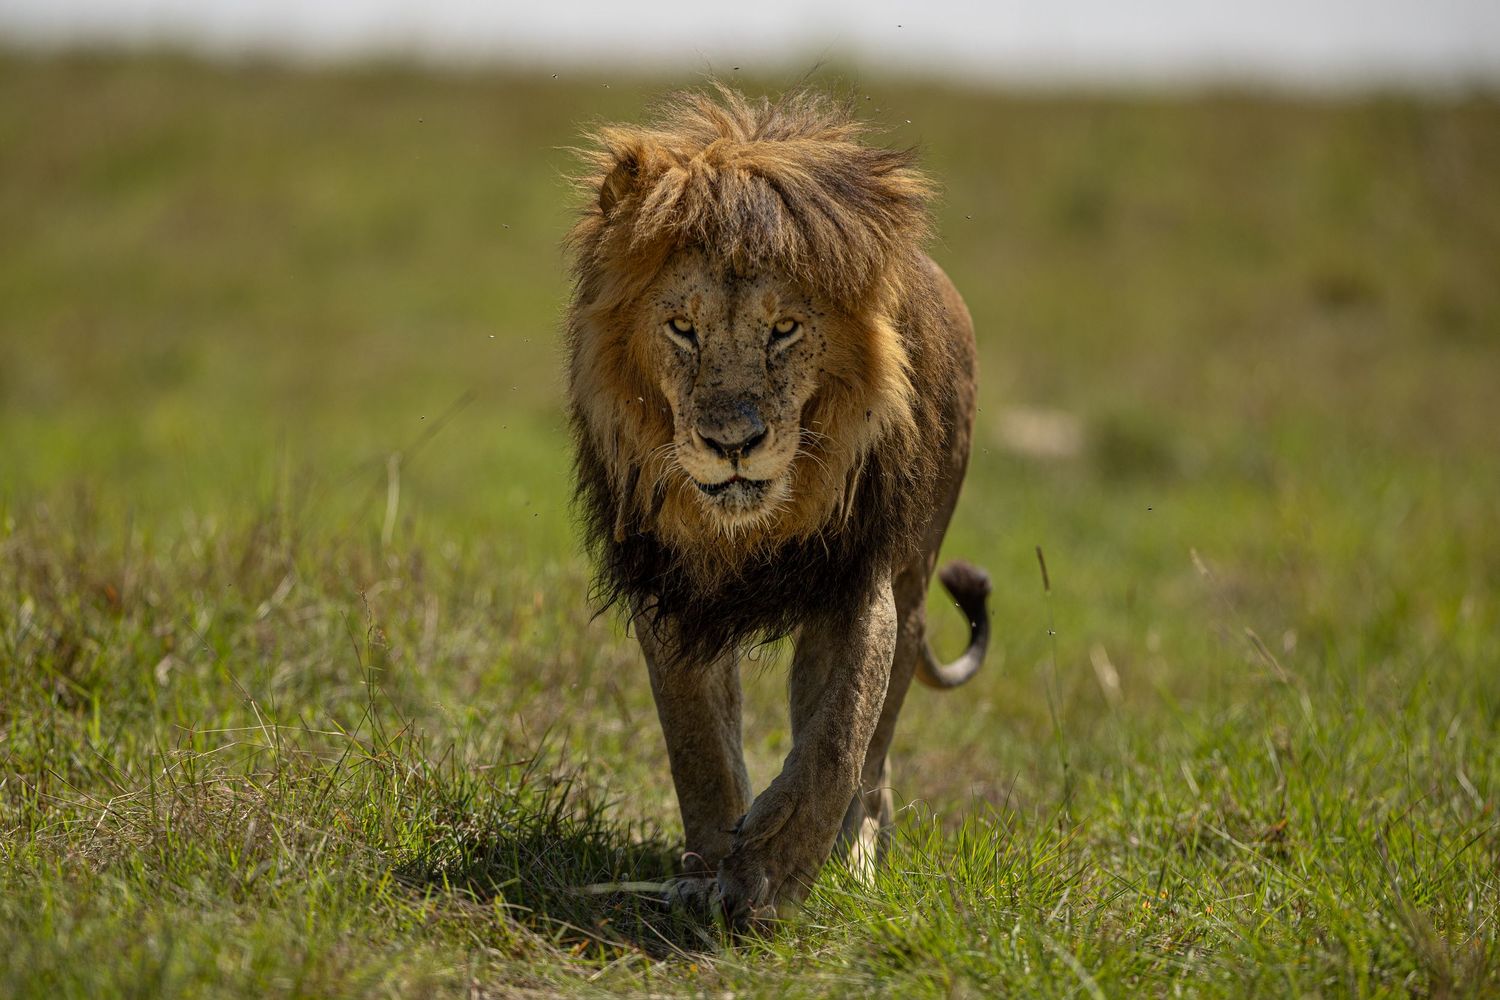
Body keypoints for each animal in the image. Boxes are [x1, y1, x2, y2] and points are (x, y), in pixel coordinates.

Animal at [564, 85, 991, 927]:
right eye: (683, 328)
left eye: (784, 329)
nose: (732, 442)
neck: (750, 530)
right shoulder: (673, 592)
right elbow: (697, 743)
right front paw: (706, 872)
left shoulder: (859, 581)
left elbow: (838, 734)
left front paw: (778, 864)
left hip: (917, 580)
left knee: (875, 752)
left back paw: (855, 854)